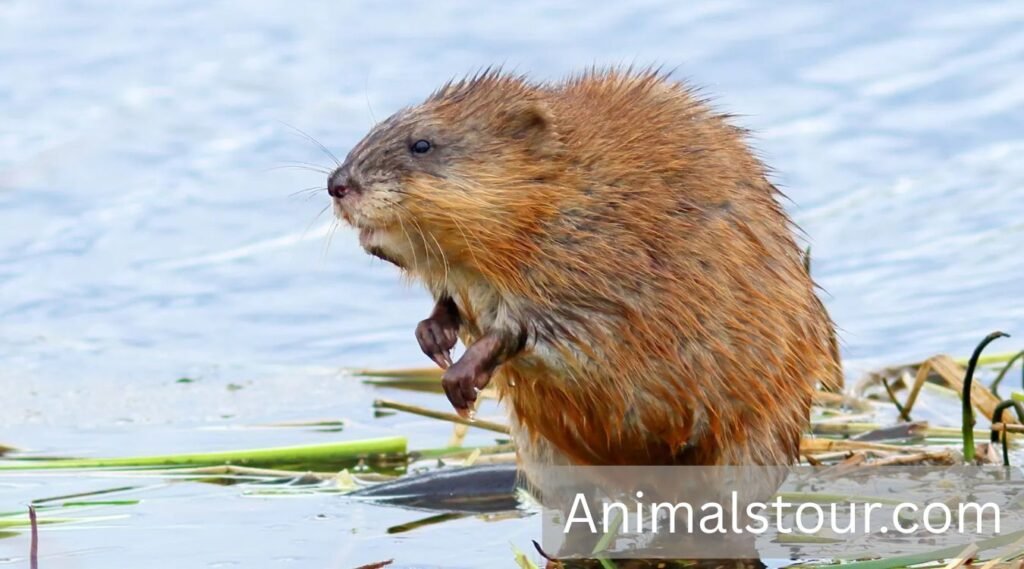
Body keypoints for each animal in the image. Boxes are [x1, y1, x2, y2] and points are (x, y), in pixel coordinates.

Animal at [328, 68, 841, 474]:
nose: (337, 185)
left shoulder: (604, 255)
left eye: (422, 145)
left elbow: (551, 326)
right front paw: (434, 337)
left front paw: (460, 379)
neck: (572, 187)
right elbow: (450, 303)